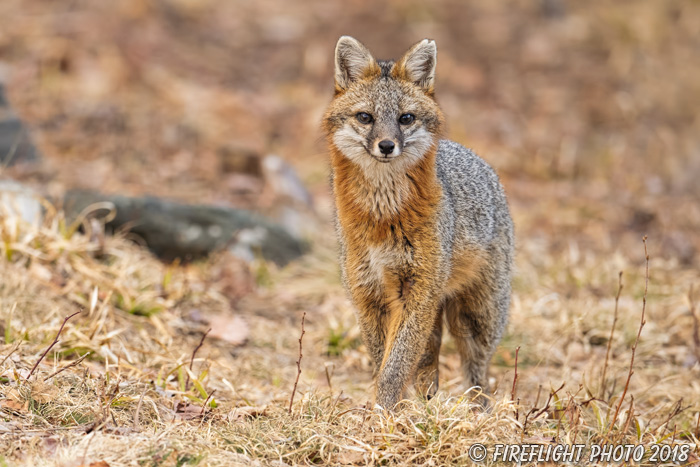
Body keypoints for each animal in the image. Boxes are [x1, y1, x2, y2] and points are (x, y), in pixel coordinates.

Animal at [322, 36, 516, 410]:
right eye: (365, 117)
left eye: (405, 118)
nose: (386, 145)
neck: (383, 216)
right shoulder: (368, 293)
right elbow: (383, 359)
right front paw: (392, 408)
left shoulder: (419, 291)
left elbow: (395, 365)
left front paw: (385, 411)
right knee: (430, 361)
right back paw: (427, 401)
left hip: (477, 317)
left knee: (477, 371)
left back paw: (479, 412)